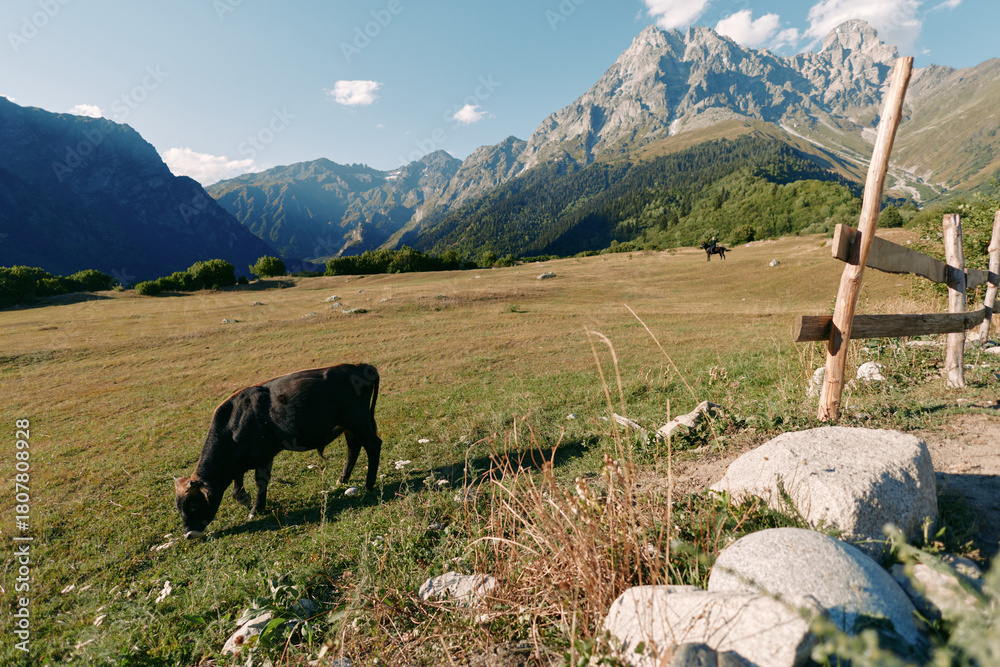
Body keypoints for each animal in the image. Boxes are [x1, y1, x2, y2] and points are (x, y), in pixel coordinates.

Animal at [174, 364, 381, 539]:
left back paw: (368, 485)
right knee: (353, 449)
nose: (188, 534)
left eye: (193, 506)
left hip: (358, 422)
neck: (234, 423)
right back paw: (343, 479)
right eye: (179, 507)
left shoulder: (264, 456)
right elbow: (237, 485)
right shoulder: (240, 462)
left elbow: (260, 482)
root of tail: (360, 366)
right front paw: (244, 499)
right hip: (351, 427)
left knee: (373, 446)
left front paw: (255, 509)